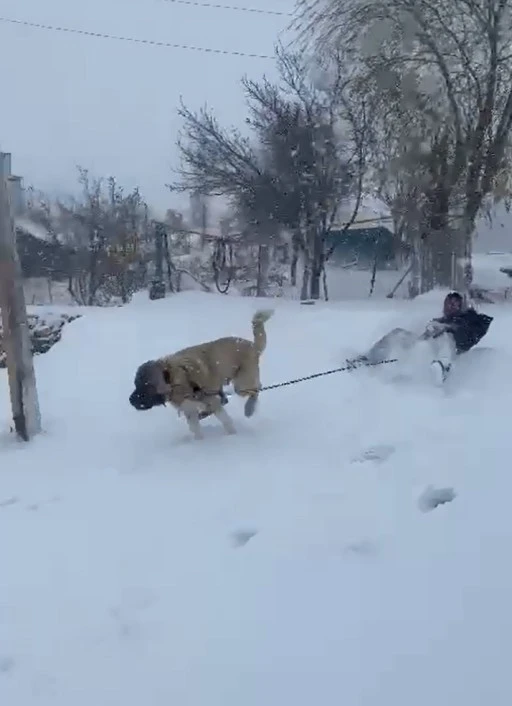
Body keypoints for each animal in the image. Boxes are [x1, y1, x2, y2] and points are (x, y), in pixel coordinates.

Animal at [130, 310, 274, 438]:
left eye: (147, 385)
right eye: (136, 384)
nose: (130, 400)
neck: (175, 378)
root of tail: (252, 345)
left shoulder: (212, 402)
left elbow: (226, 421)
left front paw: (233, 436)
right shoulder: (190, 410)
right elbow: (196, 430)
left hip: (242, 384)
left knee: (257, 388)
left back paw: (249, 408)